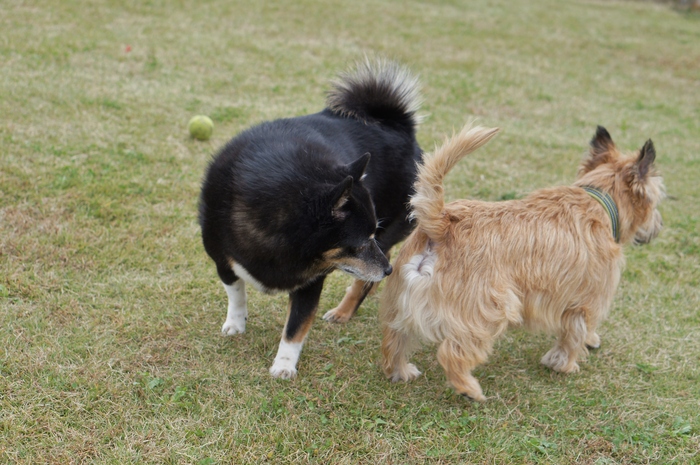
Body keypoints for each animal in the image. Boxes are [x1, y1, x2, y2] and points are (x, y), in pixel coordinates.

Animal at [200, 59, 424, 376]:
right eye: (357, 245)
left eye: (365, 239)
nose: (388, 271)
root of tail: (397, 124)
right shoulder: (223, 261)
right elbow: (237, 294)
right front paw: (235, 323)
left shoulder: (311, 279)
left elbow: (296, 326)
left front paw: (284, 365)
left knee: (371, 272)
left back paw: (345, 310)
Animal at [380, 122, 664, 398]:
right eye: (656, 202)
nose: (659, 226)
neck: (600, 200)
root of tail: (442, 223)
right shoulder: (588, 299)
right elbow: (575, 333)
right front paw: (566, 363)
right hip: (488, 310)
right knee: (453, 353)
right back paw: (468, 389)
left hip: (400, 302)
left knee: (395, 339)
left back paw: (400, 370)